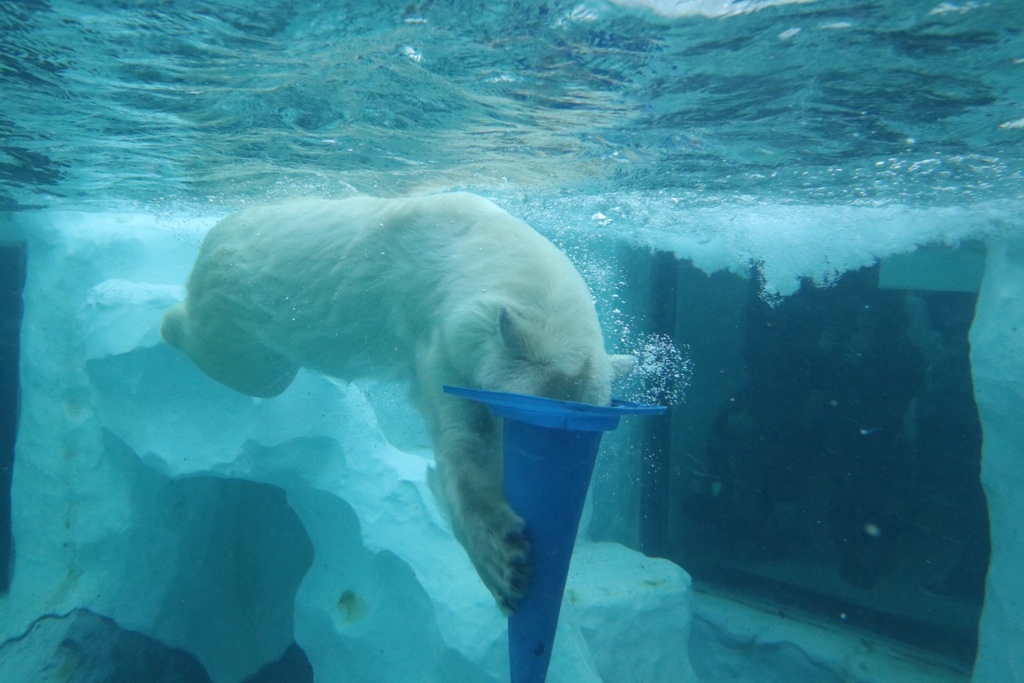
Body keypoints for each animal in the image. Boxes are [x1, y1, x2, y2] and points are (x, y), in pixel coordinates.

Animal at [161, 191, 630, 610]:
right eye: (521, 416)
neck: (477, 243)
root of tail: (217, 231)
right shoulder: (438, 331)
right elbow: (463, 439)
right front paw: (503, 561)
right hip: (238, 294)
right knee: (243, 367)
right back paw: (168, 324)